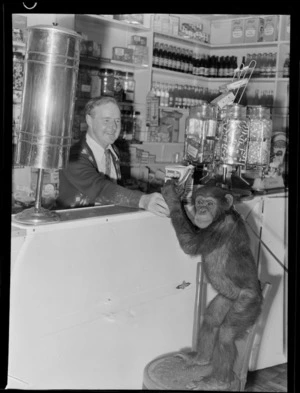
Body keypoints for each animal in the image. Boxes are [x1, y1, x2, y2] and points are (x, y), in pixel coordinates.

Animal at [162, 181, 262, 388]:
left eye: (209, 203)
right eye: (200, 202)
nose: (201, 210)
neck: (221, 216)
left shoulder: (222, 227)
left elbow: (190, 245)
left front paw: (172, 197)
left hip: (248, 303)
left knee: (226, 333)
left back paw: (217, 380)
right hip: (227, 299)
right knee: (211, 319)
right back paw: (200, 359)